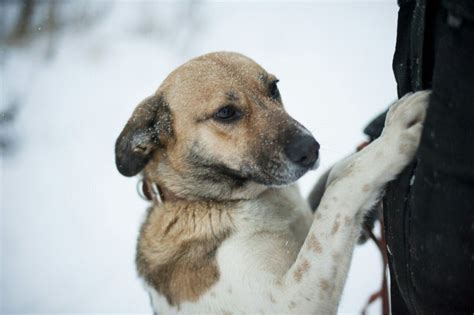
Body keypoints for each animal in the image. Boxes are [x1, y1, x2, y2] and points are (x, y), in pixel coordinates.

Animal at [115, 51, 430, 314]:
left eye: (274, 88)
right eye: (225, 112)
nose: (310, 149)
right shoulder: (284, 301)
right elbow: (340, 182)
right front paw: (393, 138)